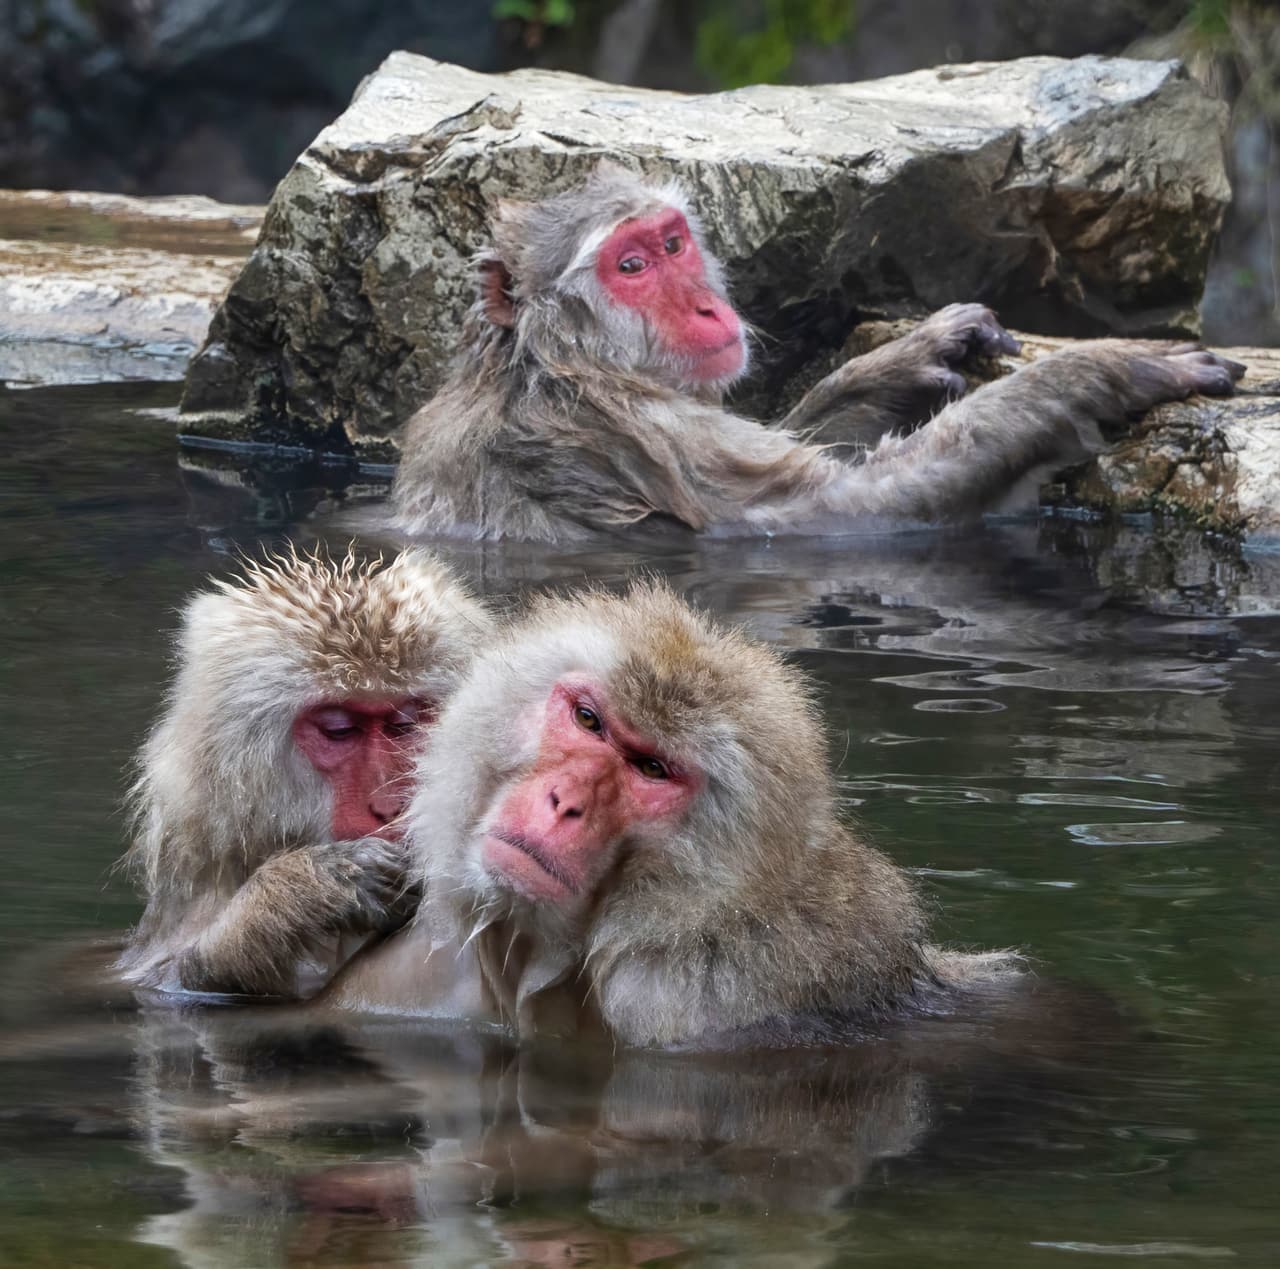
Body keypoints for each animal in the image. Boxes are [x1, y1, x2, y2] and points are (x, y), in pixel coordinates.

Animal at [391, 162, 1244, 543]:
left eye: (672, 244)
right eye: (629, 266)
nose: (706, 305)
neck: (551, 363)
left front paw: (914, 353)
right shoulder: (644, 433)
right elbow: (839, 508)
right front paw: (1105, 366)